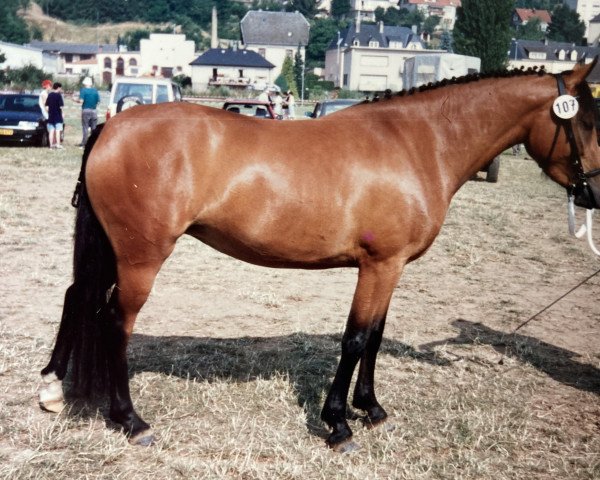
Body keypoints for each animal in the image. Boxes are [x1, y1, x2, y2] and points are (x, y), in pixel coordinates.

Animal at [39, 60, 596, 450]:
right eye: (587, 122)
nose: (593, 193)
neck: (417, 142)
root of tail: (112, 127)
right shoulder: (379, 265)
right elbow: (355, 339)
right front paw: (337, 423)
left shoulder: (389, 268)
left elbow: (374, 337)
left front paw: (371, 409)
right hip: (140, 258)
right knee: (114, 322)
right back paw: (130, 420)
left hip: (110, 252)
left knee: (76, 298)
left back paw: (57, 388)